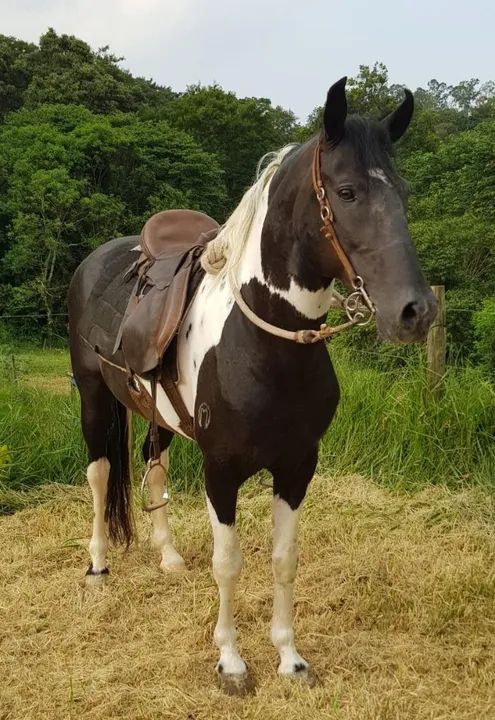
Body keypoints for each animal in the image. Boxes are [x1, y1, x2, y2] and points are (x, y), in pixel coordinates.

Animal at [68, 76, 436, 695]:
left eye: (403, 193)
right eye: (347, 191)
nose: (416, 311)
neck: (267, 343)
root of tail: (94, 262)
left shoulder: (297, 466)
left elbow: (284, 559)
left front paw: (289, 657)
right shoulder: (222, 470)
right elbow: (229, 563)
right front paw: (232, 663)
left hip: (159, 415)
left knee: (151, 465)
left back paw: (168, 557)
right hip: (93, 398)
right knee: (99, 474)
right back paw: (98, 565)